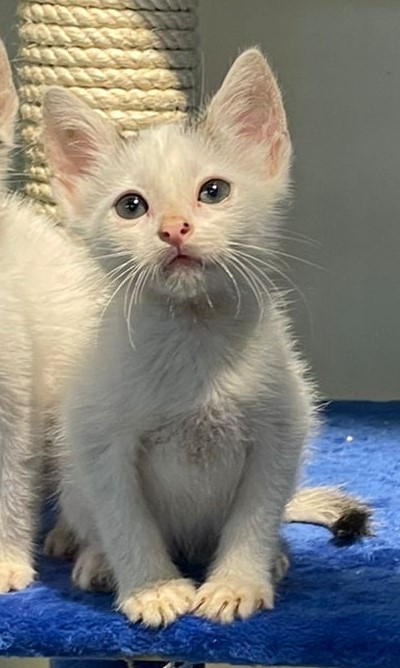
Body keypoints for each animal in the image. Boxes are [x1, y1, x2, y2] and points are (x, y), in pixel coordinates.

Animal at [0, 39, 369, 596]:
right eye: (131, 206)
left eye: (213, 191)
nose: (174, 229)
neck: (193, 334)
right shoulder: (100, 440)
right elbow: (125, 519)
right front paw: (154, 590)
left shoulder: (281, 429)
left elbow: (255, 517)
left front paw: (236, 585)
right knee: (87, 517)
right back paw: (95, 560)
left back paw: (274, 558)